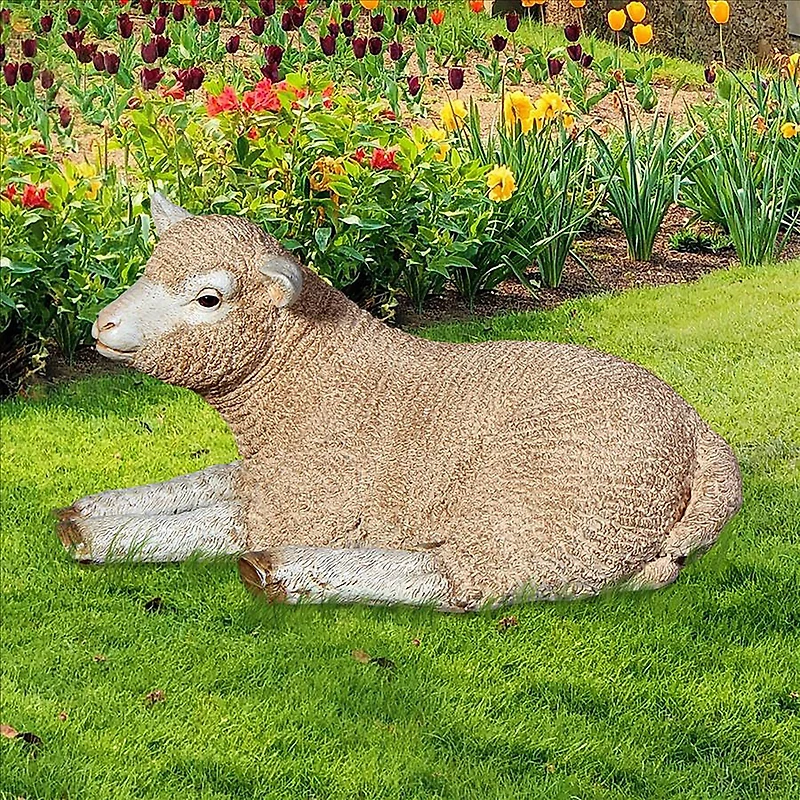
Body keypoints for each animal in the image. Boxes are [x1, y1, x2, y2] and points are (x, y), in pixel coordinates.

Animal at [55, 192, 743, 610]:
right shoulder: (265, 474)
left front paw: (96, 537)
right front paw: (89, 511)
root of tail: (697, 432)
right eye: (148, 269)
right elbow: (194, 488)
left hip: (557, 518)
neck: (305, 377)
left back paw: (284, 573)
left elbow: (204, 526)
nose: (102, 325)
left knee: (462, 581)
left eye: (208, 298)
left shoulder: (310, 503)